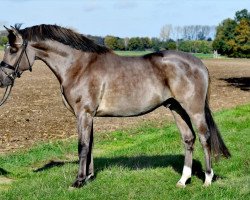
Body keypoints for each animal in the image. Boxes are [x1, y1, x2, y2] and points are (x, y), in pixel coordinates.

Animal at [0, 24, 230, 188]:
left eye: (14, 49)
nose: (2, 80)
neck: (79, 66)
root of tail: (199, 64)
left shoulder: (83, 114)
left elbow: (82, 146)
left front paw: (78, 181)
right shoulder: (89, 116)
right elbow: (90, 145)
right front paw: (89, 177)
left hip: (194, 109)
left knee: (204, 137)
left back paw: (208, 179)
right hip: (176, 108)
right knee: (188, 139)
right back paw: (183, 180)